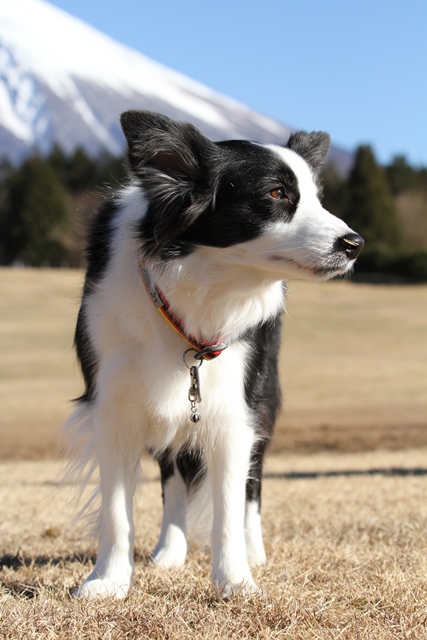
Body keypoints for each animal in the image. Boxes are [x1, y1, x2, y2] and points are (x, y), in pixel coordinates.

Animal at [63, 110, 364, 600]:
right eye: (276, 193)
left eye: (318, 200)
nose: (355, 243)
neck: (198, 285)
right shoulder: (112, 404)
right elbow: (117, 510)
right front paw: (107, 581)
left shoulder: (234, 409)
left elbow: (229, 503)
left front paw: (235, 582)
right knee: (173, 477)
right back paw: (169, 551)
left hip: (263, 398)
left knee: (251, 487)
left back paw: (253, 550)